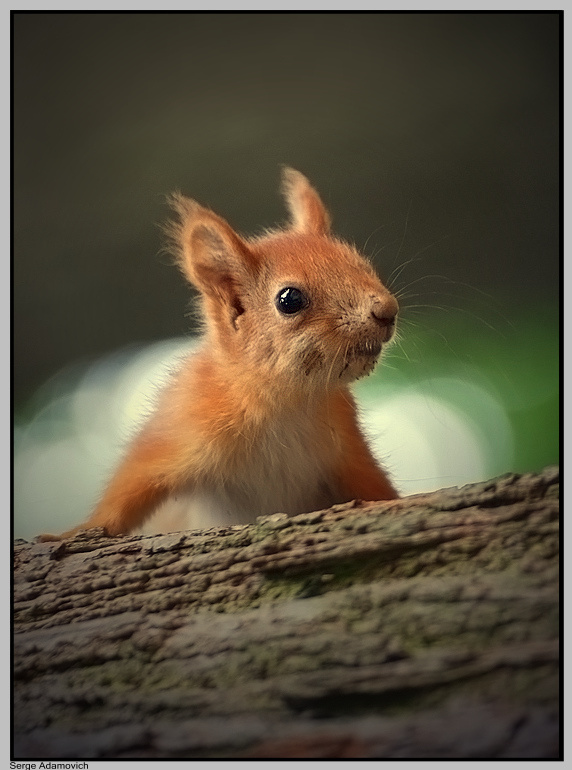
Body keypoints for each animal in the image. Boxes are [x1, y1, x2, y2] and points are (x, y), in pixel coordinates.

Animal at [40, 168, 399, 541]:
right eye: (289, 299)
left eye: (362, 264)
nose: (387, 310)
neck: (284, 401)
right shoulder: (181, 426)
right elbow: (127, 489)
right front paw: (72, 532)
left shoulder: (348, 449)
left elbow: (376, 486)